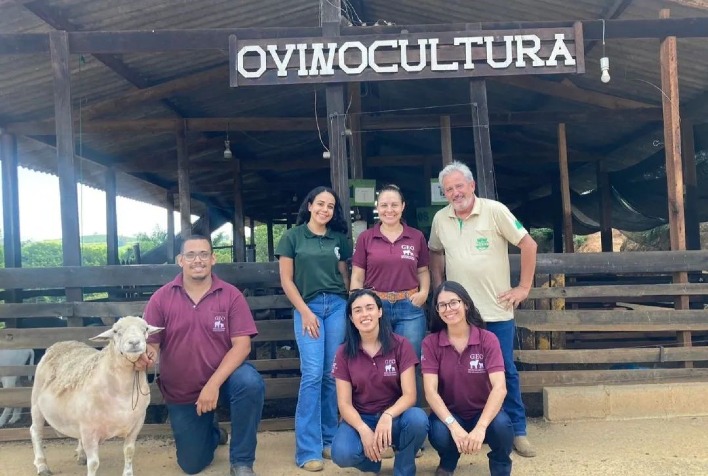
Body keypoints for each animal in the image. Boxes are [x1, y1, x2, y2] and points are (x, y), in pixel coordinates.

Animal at [30, 316, 162, 476]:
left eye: (146, 329)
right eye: (115, 331)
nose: (134, 342)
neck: (122, 393)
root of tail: (60, 344)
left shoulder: (136, 423)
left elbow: (129, 451)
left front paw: (127, 473)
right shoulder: (89, 430)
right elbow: (93, 463)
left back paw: (81, 456)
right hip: (36, 404)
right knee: (36, 432)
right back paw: (42, 466)